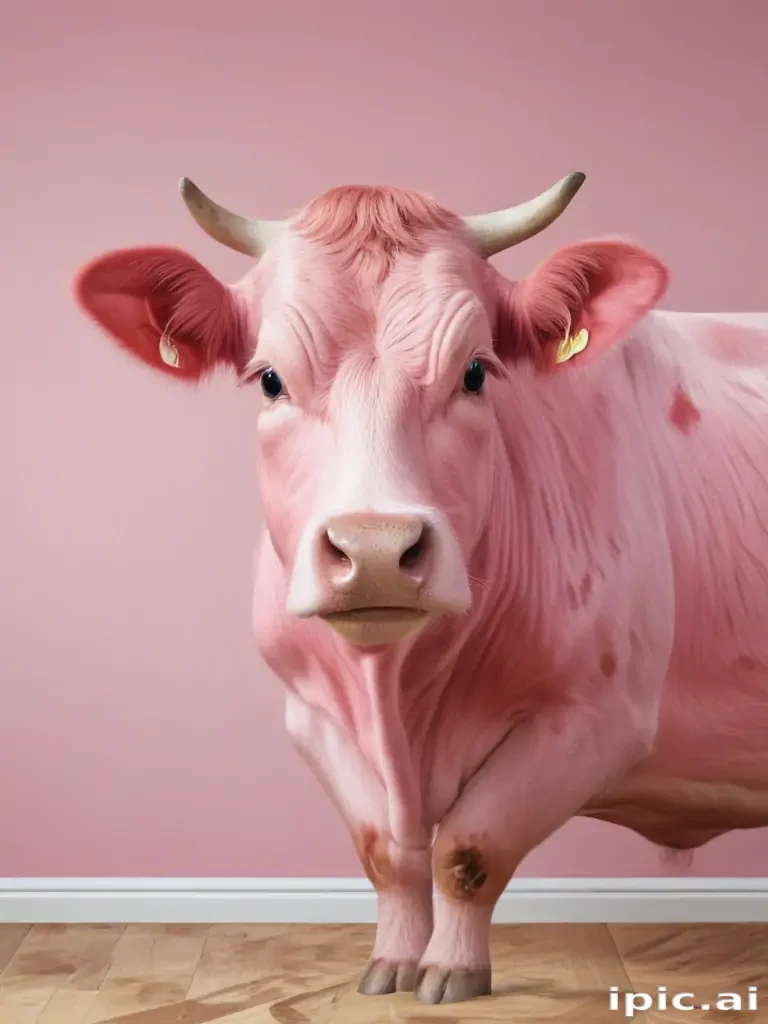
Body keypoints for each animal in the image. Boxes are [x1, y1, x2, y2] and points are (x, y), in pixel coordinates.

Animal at [74, 172, 768, 1006]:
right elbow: (386, 854)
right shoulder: (311, 714)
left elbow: (469, 849)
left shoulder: (599, 718)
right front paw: (394, 963)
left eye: (476, 371)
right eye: (270, 378)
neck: (400, 702)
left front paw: (452, 970)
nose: (374, 548)